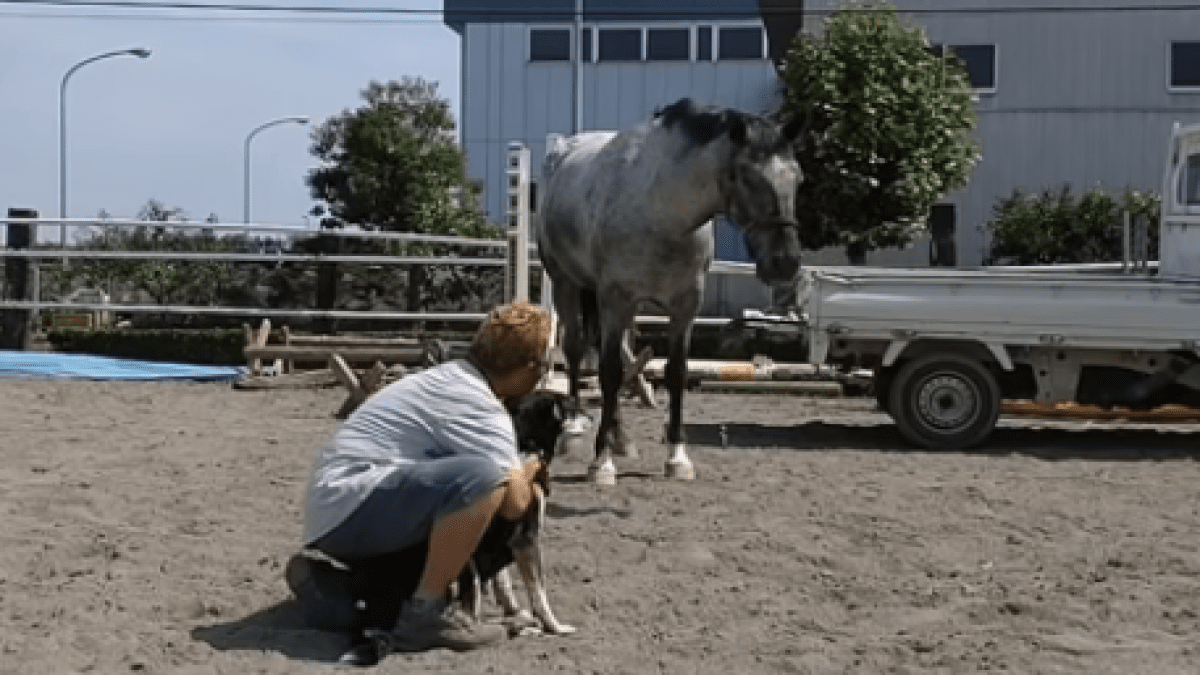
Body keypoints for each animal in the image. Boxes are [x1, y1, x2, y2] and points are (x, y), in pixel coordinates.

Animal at [537, 97, 801, 480]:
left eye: (798, 178)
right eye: (747, 176)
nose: (786, 262)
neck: (662, 212)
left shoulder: (684, 307)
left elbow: (675, 373)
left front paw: (677, 457)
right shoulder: (616, 300)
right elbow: (609, 373)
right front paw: (601, 463)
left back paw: (619, 436)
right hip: (565, 283)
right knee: (574, 348)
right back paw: (572, 428)